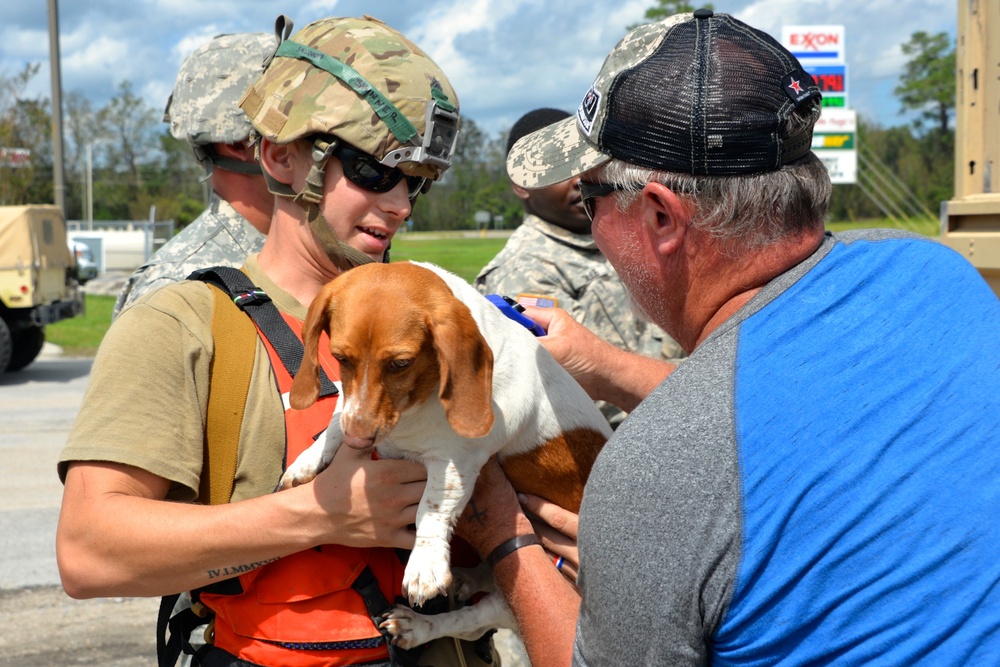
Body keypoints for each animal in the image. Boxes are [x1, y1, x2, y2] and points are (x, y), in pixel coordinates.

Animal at [282, 262, 608, 652]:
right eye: (340, 358)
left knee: (468, 623)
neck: (416, 405)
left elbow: (431, 509)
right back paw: (467, 577)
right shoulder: (352, 408)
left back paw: (419, 626)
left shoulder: (455, 462)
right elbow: (337, 418)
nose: (358, 440)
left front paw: (425, 564)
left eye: (400, 363)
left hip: (518, 600)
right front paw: (308, 460)